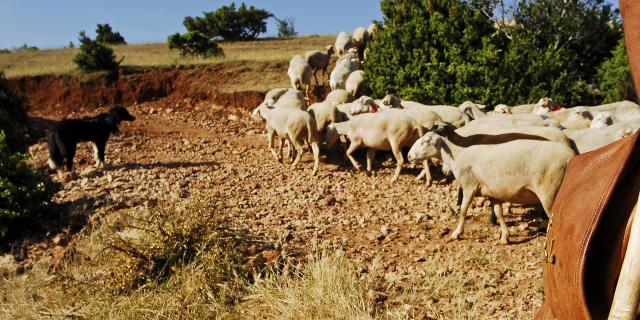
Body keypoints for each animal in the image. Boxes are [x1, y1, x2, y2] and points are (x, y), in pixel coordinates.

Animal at [410, 132, 576, 242]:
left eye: (426, 141)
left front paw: (456, 233)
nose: (410, 156)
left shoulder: (469, 186)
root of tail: (571, 156)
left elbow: (463, 210)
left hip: (549, 190)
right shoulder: (493, 193)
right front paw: (505, 237)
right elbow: (498, 213)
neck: (457, 156)